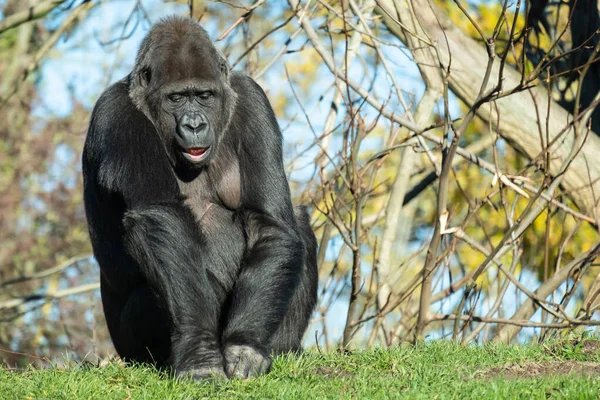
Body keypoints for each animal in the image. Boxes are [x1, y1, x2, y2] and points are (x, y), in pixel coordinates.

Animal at [83, 14, 324, 378]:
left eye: (204, 96)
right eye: (176, 98)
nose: (194, 125)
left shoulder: (252, 99)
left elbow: (270, 223)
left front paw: (245, 346)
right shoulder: (117, 114)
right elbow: (162, 217)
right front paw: (198, 354)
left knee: (295, 223)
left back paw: (281, 349)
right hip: (130, 349)